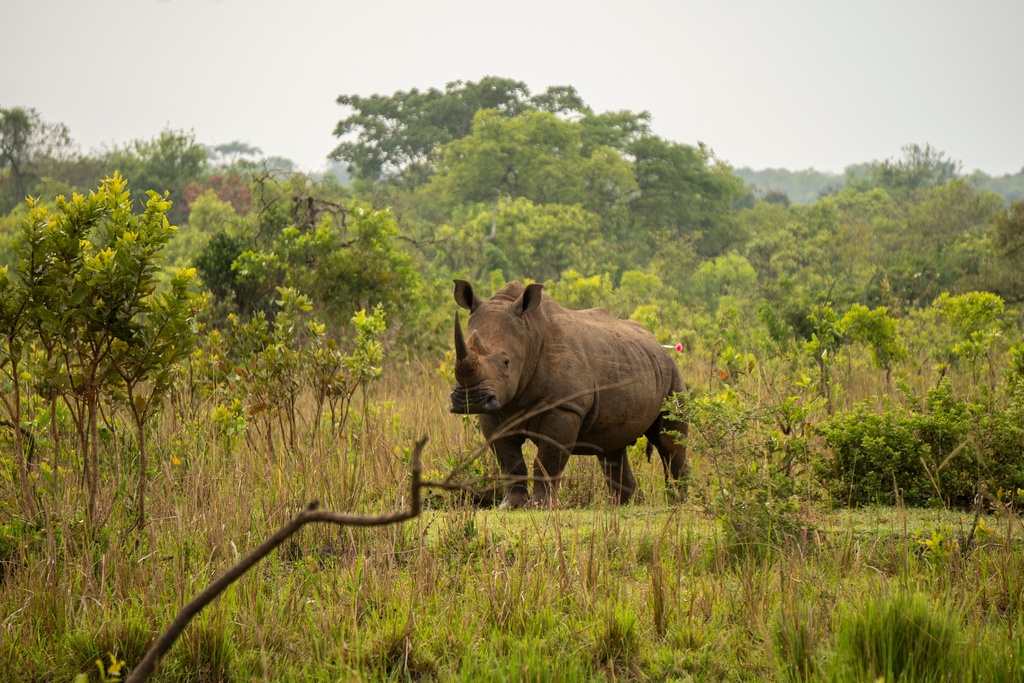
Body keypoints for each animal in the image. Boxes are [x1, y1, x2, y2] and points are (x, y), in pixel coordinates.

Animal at [449, 279, 688, 509]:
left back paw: (679, 502)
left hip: (672, 372)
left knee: (670, 441)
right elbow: (510, 460)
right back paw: (619, 506)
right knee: (612, 447)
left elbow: (548, 459)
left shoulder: (565, 407)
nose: (471, 400)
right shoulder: (494, 411)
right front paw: (510, 505)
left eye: (506, 362)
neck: (529, 335)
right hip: (629, 358)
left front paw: (540, 506)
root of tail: (658, 343)